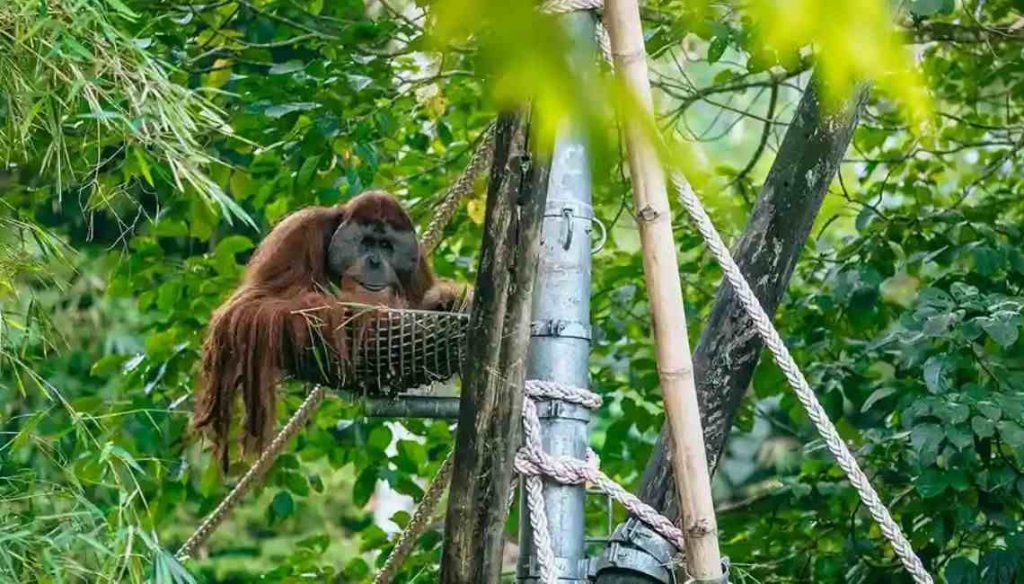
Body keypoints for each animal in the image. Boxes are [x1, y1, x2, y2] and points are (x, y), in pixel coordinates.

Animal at [193, 190, 470, 471]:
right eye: (366, 243)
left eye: (385, 246)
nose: (374, 261)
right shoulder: (298, 232)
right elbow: (250, 306)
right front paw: (355, 312)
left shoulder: (417, 268)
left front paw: (449, 302)